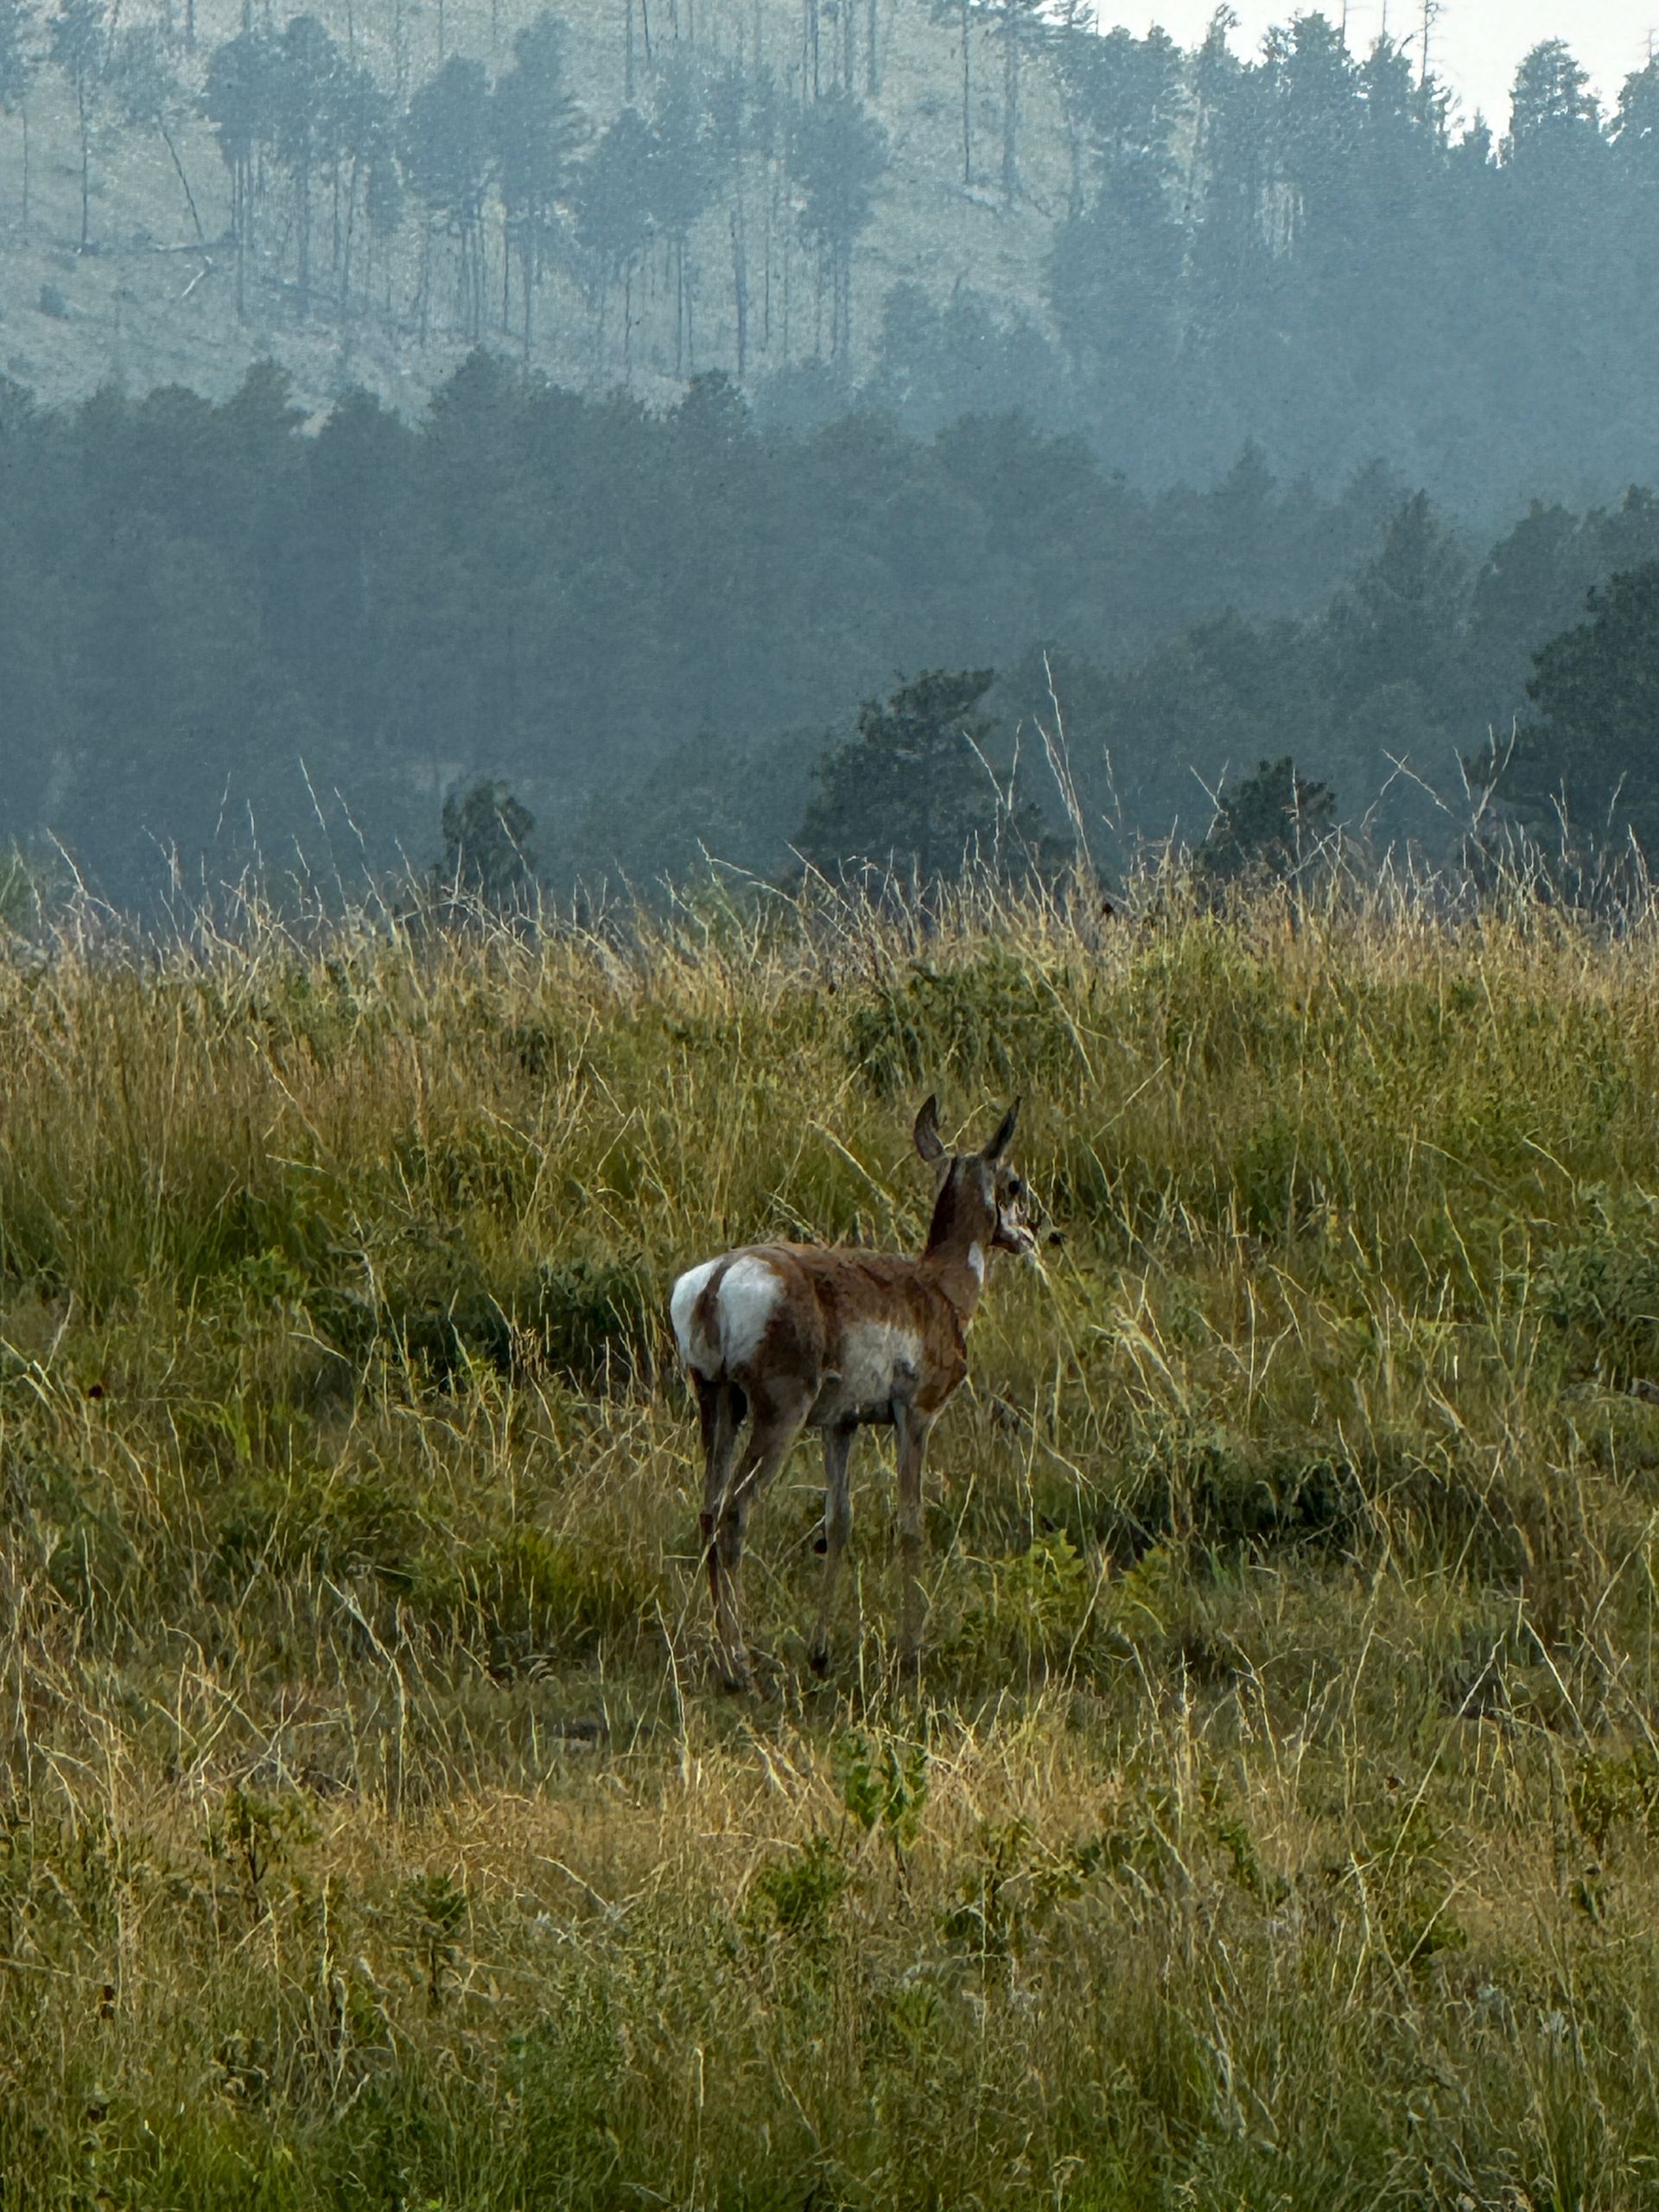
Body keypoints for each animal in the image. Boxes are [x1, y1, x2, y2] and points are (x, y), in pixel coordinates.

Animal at [669, 1096, 1037, 1690]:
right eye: (1015, 1182)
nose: (1037, 1231)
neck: (937, 1287)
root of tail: (719, 1277)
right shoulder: (916, 1418)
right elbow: (910, 1524)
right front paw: (913, 1652)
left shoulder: (842, 1427)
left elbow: (837, 1523)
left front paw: (820, 1652)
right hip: (778, 1419)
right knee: (735, 1513)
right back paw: (742, 1665)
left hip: (719, 1406)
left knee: (708, 1510)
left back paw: (730, 1658)